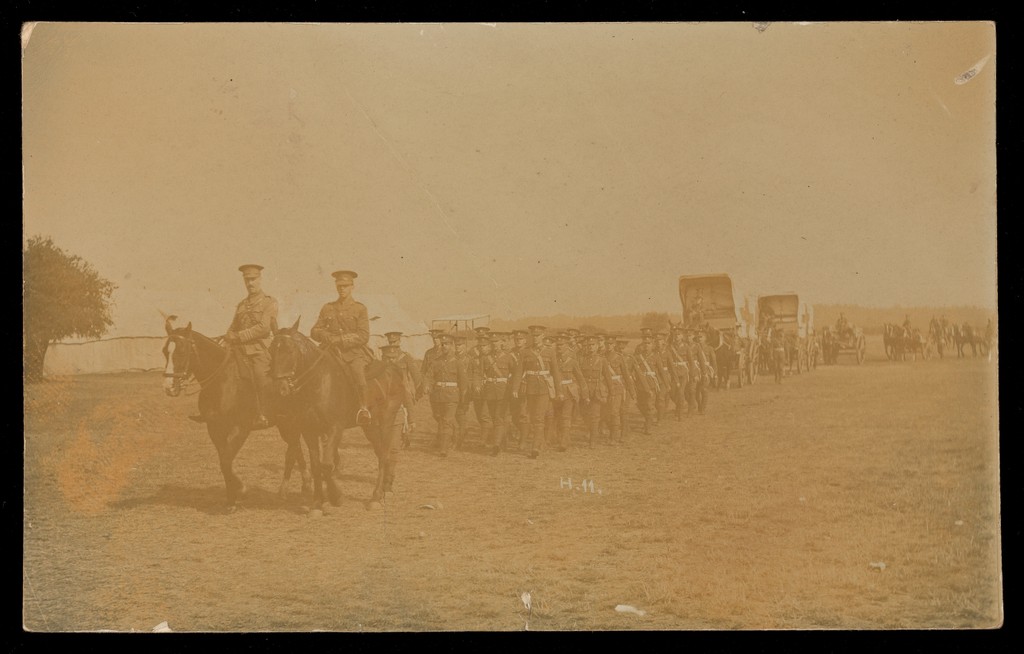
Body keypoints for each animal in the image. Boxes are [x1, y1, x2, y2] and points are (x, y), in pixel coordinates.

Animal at [161, 317, 310, 509]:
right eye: (165, 351)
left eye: (181, 350)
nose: (168, 387)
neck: (223, 380)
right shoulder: (215, 429)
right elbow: (225, 460)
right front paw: (233, 495)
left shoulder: (241, 428)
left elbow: (225, 461)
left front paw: (239, 492)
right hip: (285, 423)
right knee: (295, 447)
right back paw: (299, 487)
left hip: (293, 421)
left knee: (294, 449)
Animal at [269, 320, 406, 508]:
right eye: (271, 350)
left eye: (290, 350)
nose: (279, 389)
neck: (318, 383)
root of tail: (394, 370)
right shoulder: (308, 430)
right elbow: (316, 465)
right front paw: (317, 504)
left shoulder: (335, 429)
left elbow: (326, 465)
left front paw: (336, 496)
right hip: (369, 426)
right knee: (379, 453)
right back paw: (381, 492)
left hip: (386, 421)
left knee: (385, 454)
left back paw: (376, 497)